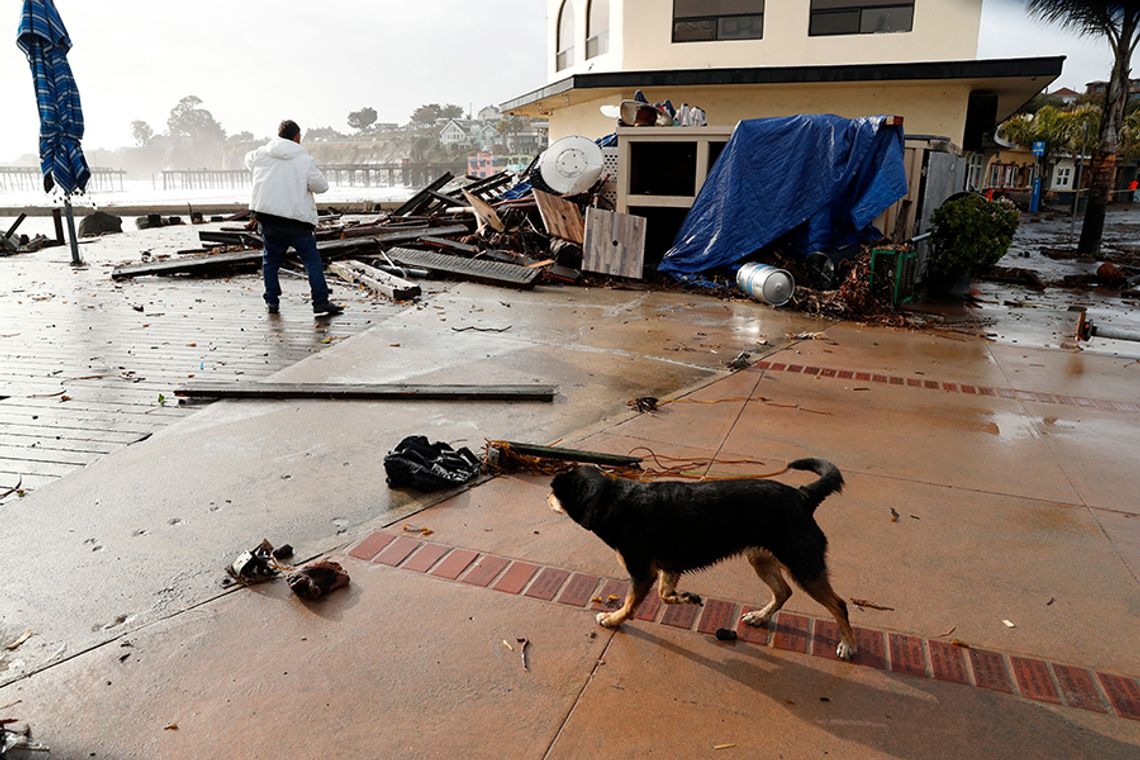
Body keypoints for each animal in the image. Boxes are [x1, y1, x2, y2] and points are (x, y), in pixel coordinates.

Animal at [549, 458, 857, 660]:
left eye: (553, 490)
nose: (546, 498)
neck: (609, 498)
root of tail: (804, 495)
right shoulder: (668, 567)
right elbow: (664, 595)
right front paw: (686, 598)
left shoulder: (642, 572)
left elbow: (629, 605)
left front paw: (613, 619)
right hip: (762, 559)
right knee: (783, 591)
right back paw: (760, 616)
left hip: (803, 566)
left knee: (839, 605)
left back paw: (848, 644)